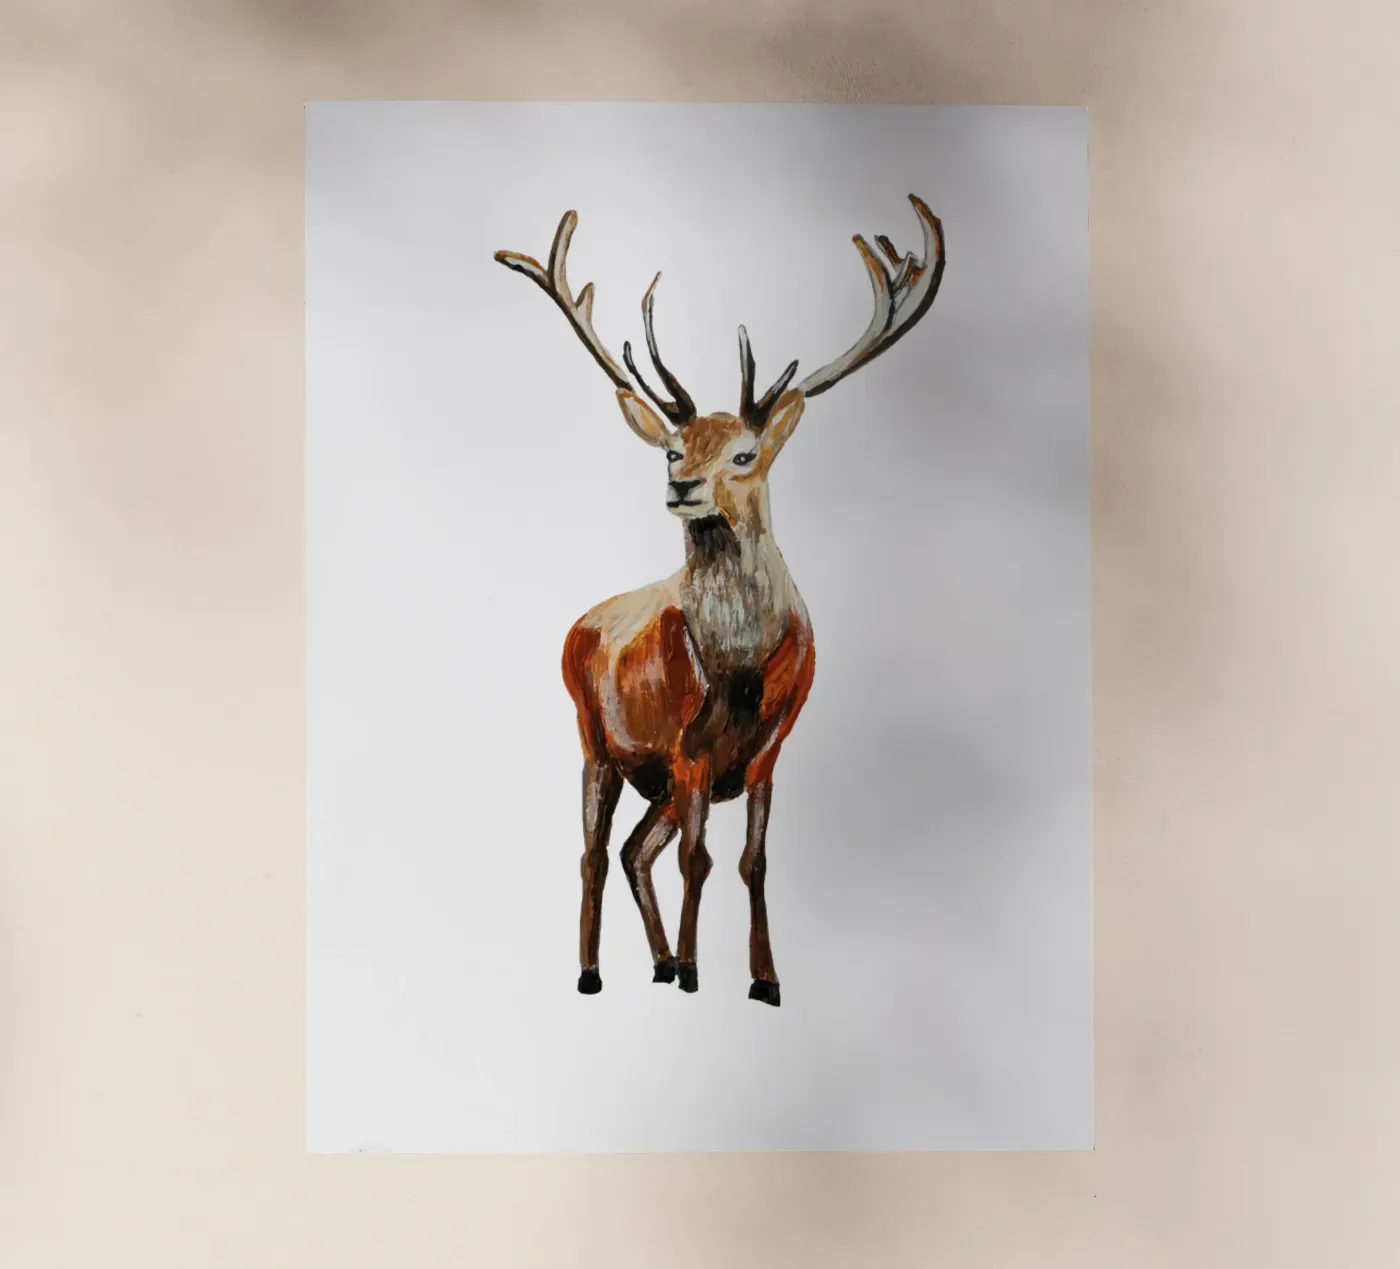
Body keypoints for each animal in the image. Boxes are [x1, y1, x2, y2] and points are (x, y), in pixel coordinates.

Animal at [494, 195, 945, 1006]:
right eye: (674, 448)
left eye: (744, 453)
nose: (681, 486)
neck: (738, 668)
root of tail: (579, 622)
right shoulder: (686, 747)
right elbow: (697, 861)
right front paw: (696, 971)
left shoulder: (769, 750)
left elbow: (752, 862)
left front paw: (763, 978)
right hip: (595, 737)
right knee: (597, 852)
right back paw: (594, 971)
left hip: (655, 780)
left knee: (636, 848)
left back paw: (656, 959)